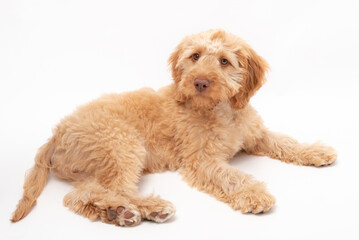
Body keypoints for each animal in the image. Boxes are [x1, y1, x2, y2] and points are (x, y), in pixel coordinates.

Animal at [11, 29, 338, 226]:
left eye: (224, 61)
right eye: (194, 56)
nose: (200, 82)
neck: (221, 111)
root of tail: (55, 133)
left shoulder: (255, 135)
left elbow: (284, 141)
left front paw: (315, 151)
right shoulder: (200, 160)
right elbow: (232, 175)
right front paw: (253, 194)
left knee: (80, 196)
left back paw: (118, 213)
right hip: (122, 145)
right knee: (103, 192)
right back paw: (144, 208)